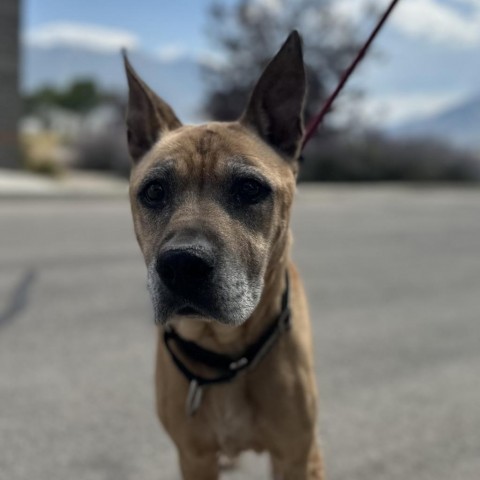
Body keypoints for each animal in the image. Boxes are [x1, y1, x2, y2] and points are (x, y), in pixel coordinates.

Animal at [124, 31, 324, 478]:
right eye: (154, 191)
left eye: (250, 189)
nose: (182, 266)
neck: (225, 353)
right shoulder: (194, 456)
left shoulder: (294, 454)